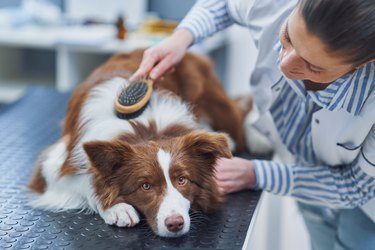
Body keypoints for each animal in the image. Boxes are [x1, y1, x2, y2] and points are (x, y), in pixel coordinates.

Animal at [27, 49, 251, 237]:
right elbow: (88, 182)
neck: (143, 126)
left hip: (221, 108)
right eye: (145, 186)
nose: (175, 223)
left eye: (182, 180)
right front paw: (117, 208)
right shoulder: (53, 166)